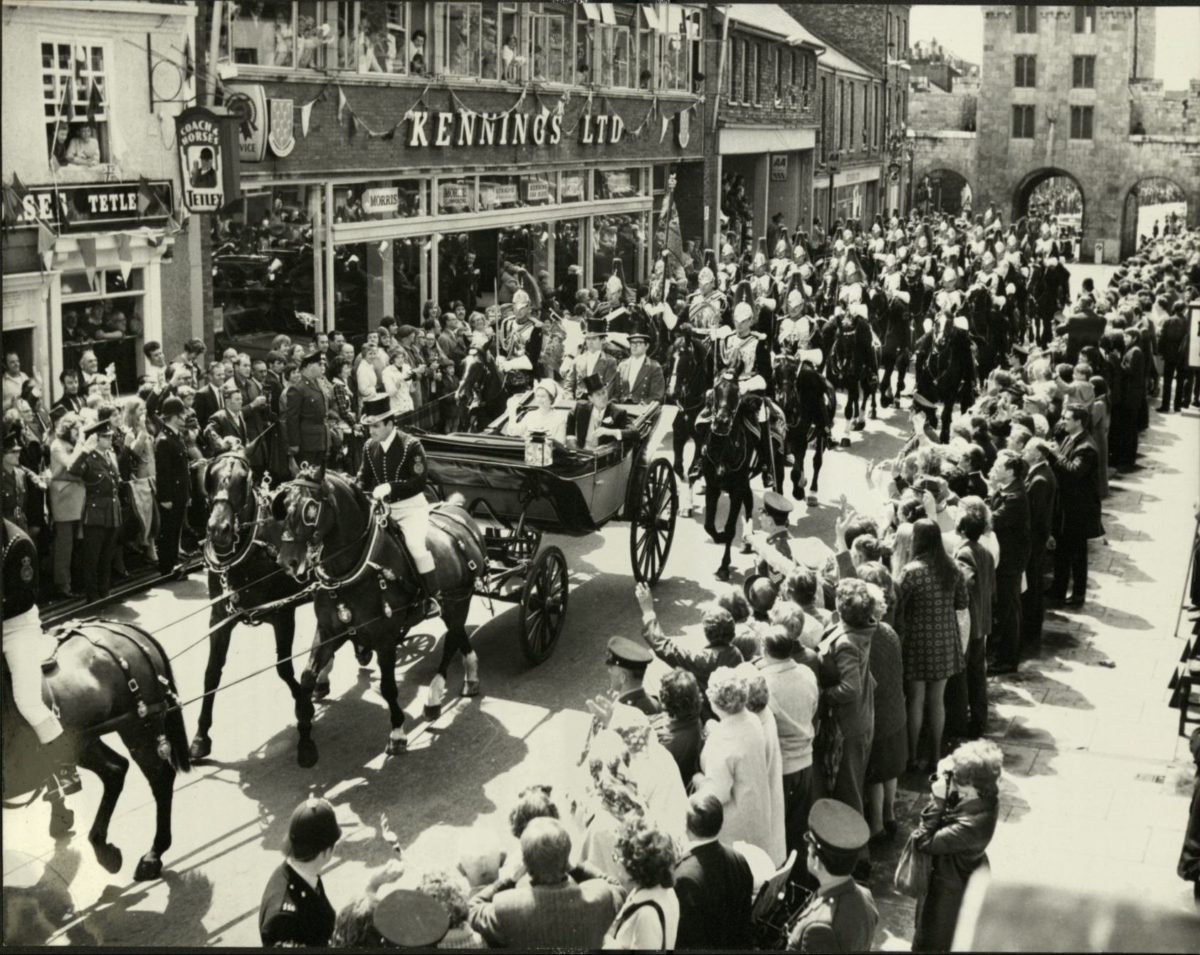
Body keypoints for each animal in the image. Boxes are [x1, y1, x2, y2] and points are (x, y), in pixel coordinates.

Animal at [2, 619, 190, 878]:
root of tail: (122, 628)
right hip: (84, 742)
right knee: (115, 770)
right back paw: (103, 848)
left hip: (137, 727)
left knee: (159, 778)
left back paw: (153, 855)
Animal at [189, 448, 312, 763]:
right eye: (211, 476)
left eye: (244, 480)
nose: (218, 530)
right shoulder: (219, 618)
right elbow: (211, 673)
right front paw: (200, 737)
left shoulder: (283, 613)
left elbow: (284, 669)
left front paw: (303, 707)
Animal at [276, 472, 487, 763]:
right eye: (284, 503)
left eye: (310, 509)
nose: (287, 561)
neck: (357, 568)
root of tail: (458, 513)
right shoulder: (329, 630)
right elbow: (307, 676)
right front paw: (306, 738)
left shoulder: (385, 638)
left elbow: (388, 687)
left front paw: (397, 733)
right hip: (452, 604)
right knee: (458, 635)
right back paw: (471, 675)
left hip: (458, 602)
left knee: (450, 643)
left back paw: (434, 698)